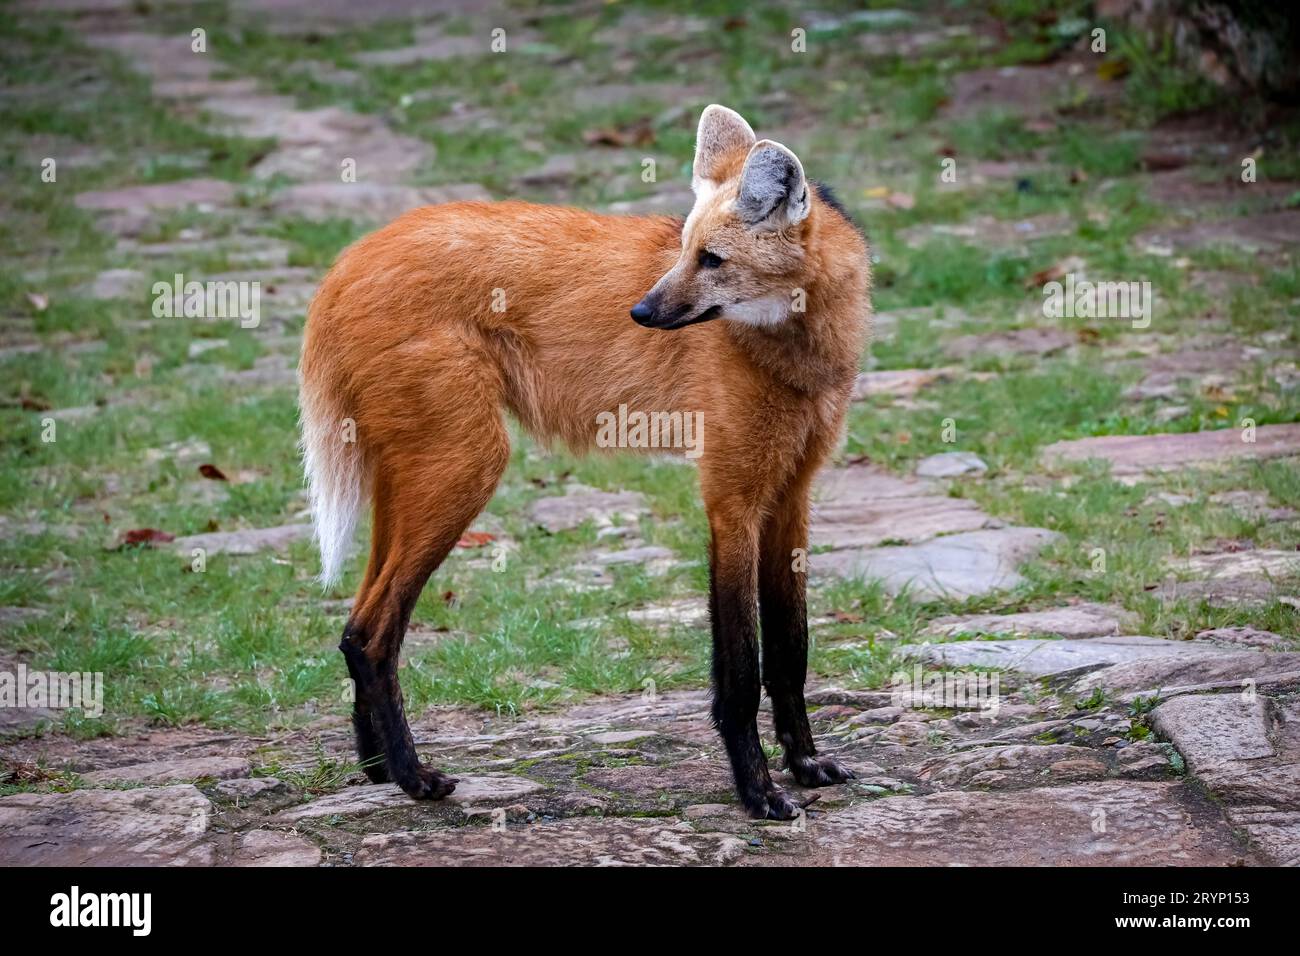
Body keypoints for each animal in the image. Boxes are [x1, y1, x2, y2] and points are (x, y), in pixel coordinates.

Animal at [300, 108, 873, 816]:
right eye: (684, 251)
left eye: (711, 259)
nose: (642, 312)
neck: (797, 348)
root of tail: (349, 259)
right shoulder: (731, 500)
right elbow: (741, 668)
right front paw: (759, 792)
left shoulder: (791, 495)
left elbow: (790, 651)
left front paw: (806, 764)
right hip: (467, 464)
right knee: (373, 634)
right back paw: (416, 779)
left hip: (415, 472)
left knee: (354, 623)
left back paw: (377, 768)